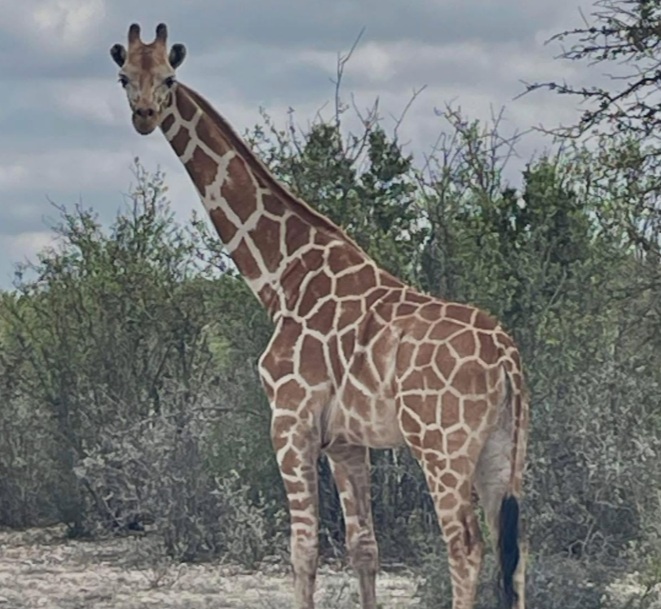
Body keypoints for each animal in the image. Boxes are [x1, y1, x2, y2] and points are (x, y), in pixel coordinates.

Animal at [110, 23, 529, 609]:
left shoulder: (290, 420)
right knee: (517, 551)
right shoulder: (348, 442)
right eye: (125, 76)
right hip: (504, 450)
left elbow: (303, 549)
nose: (145, 115)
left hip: (442, 445)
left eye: (169, 78)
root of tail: (508, 359)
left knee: (466, 548)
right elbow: (364, 548)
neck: (282, 277)